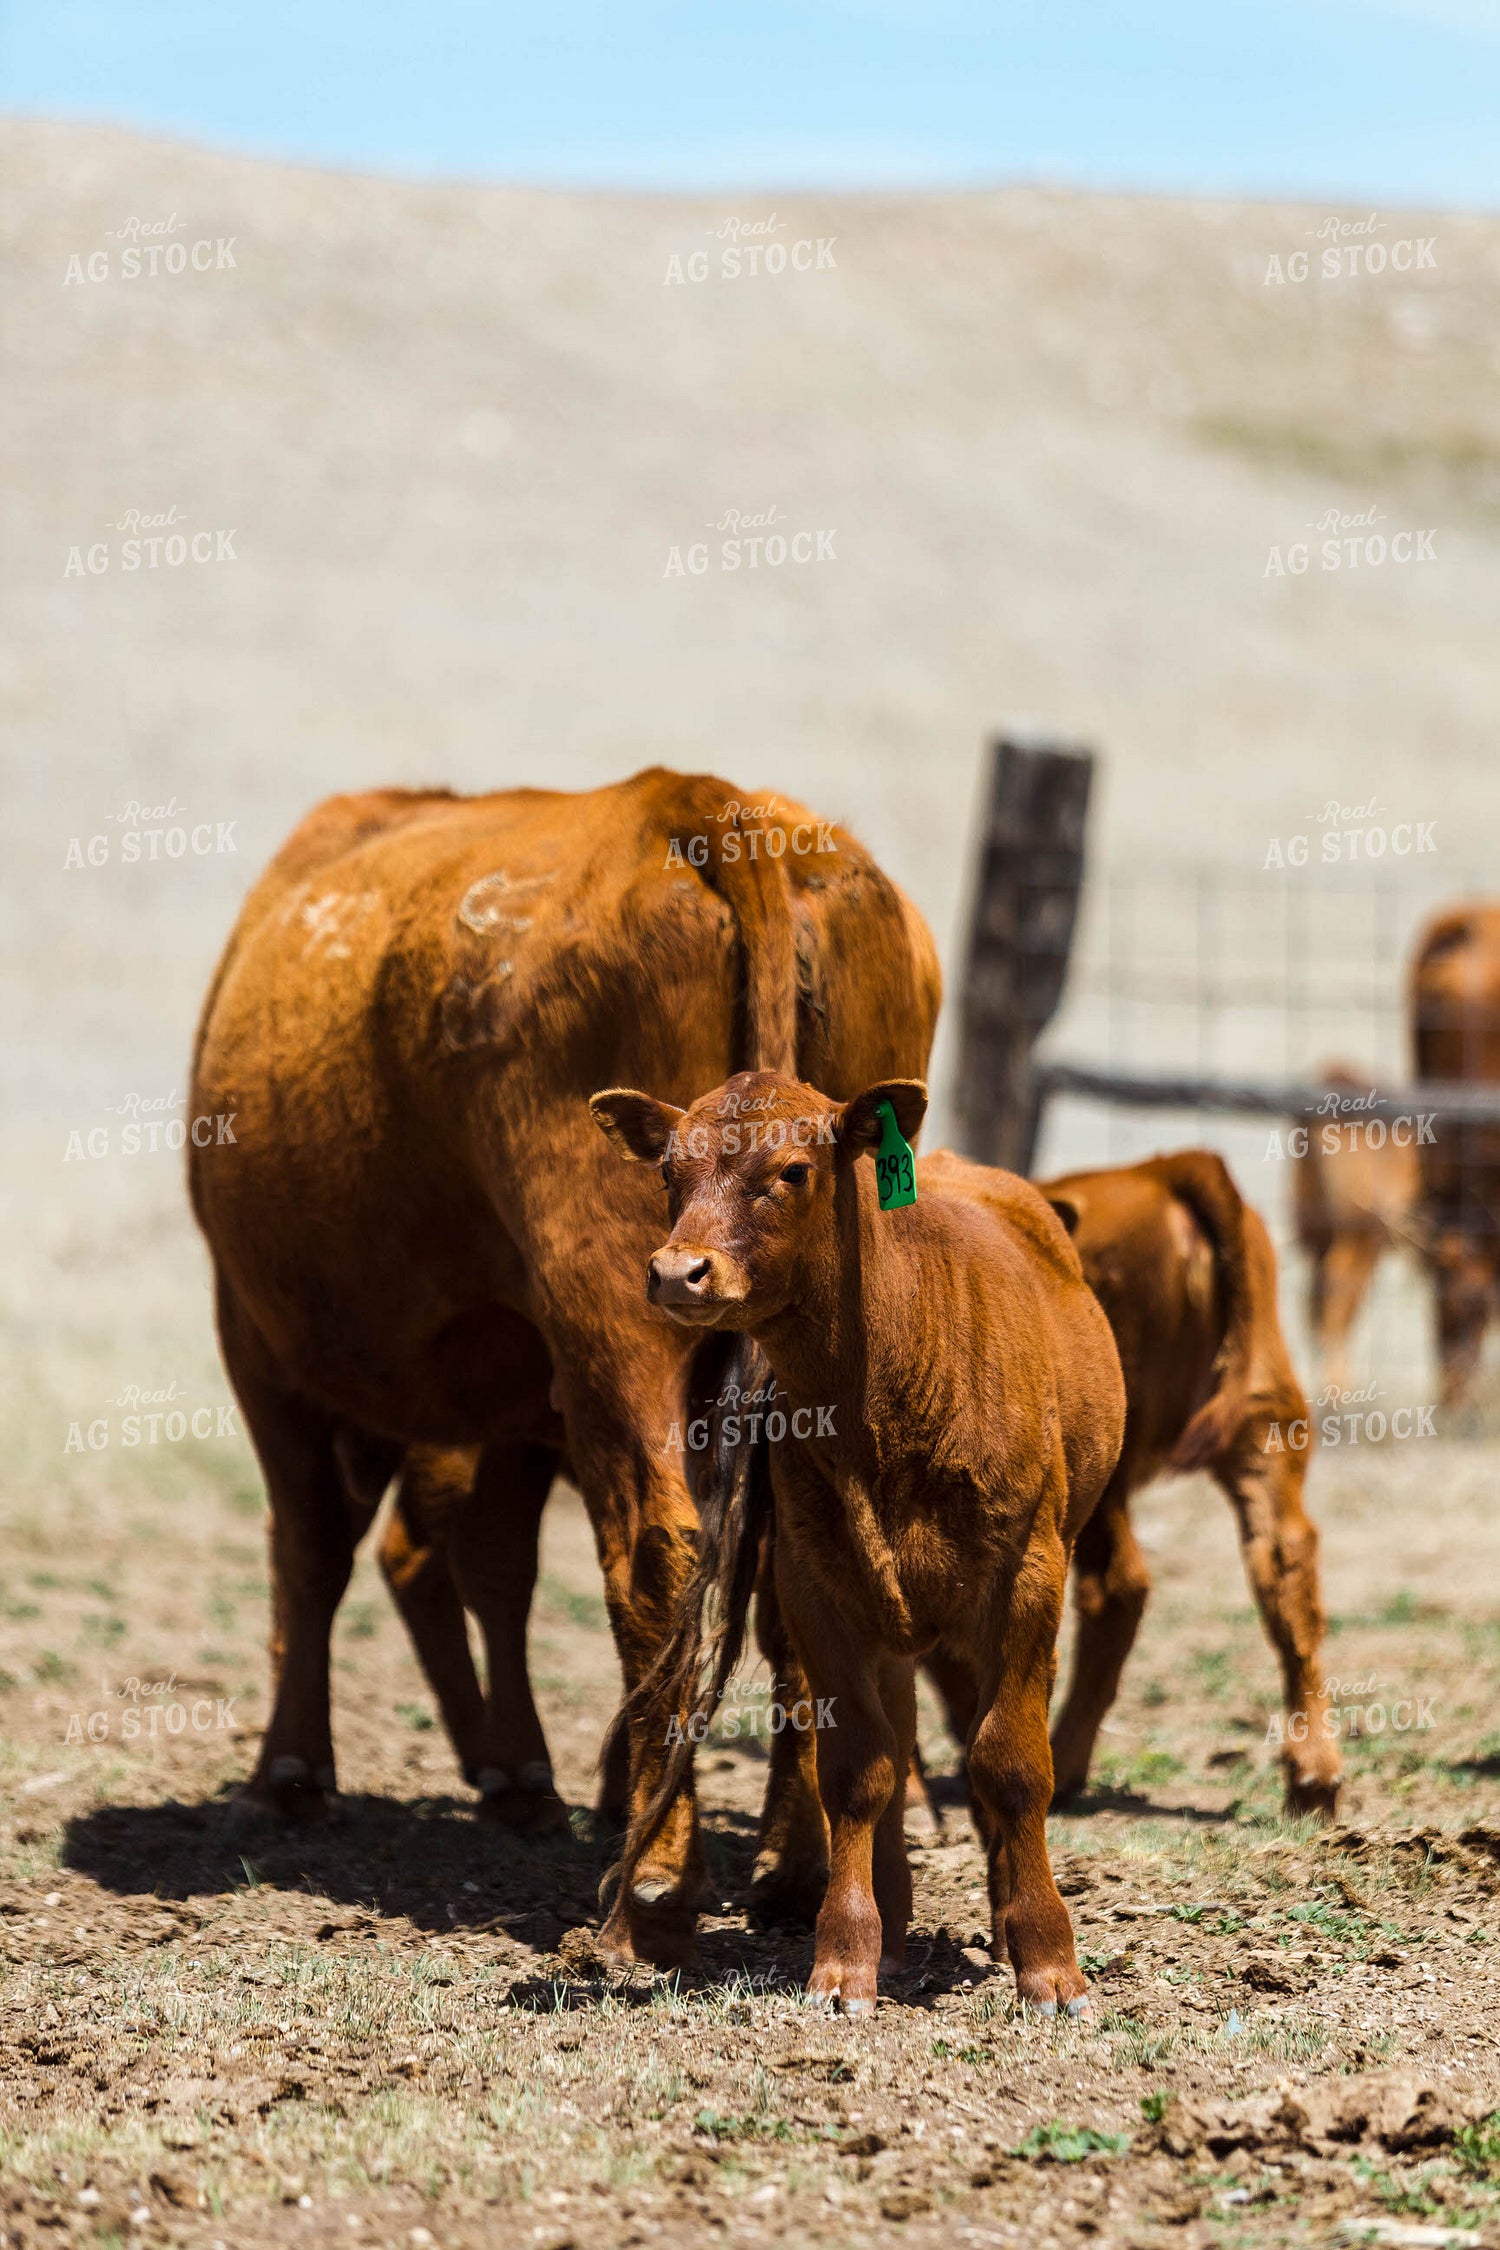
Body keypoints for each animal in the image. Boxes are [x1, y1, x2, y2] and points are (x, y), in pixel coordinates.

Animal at [188, 770, 939, 1965]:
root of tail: (704, 802)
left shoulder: (259, 1337)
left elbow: (312, 1546)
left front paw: (290, 1771)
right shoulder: (519, 1397)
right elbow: (492, 1560)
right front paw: (530, 1776)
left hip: (612, 1314)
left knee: (653, 1547)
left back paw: (660, 1881)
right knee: (784, 1579)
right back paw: (791, 1866)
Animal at [591, 1070, 1126, 2017]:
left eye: (793, 1171)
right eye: (667, 1173)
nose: (677, 1271)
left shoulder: (1029, 1577)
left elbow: (1010, 1762)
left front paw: (1048, 1963)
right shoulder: (817, 1588)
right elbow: (855, 1770)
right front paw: (847, 1957)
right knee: (896, 1739)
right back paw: (899, 1923)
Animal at [923, 1151, 1340, 1822]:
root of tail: (1159, 1171)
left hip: (1100, 1468)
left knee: (1119, 1587)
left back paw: (1060, 1764)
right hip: (1266, 1424)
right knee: (1283, 1564)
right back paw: (1314, 1777)